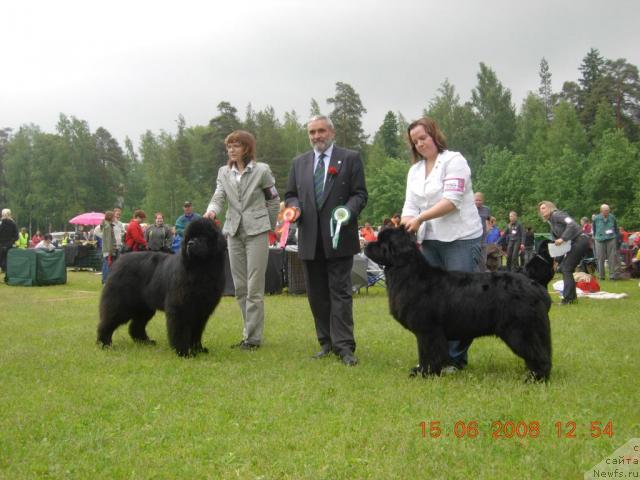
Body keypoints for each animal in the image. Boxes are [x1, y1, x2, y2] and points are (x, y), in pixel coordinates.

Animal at [95, 218, 225, 356]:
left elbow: (197, 332)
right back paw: (105, 344)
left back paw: (145, 342)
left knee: (135, 326)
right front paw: (183, 352)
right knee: (108, 322)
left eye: (203, 237)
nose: (190, 243)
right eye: (189, 237)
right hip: (121, 303)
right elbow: (180, 330)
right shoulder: (180, 307)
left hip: (144, 307)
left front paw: (198, 349)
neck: (201, 270)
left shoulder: (202, 310)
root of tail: (119, 261)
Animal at [362, 229, 552, 382]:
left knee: (537, 354)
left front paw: (425, 373)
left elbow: (428, 353)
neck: (409, 273)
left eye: (381, 242)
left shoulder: (428, 330)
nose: (366, 245)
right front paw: (424, 371)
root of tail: (536, 286)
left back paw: (535, 378)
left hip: (520, 330)